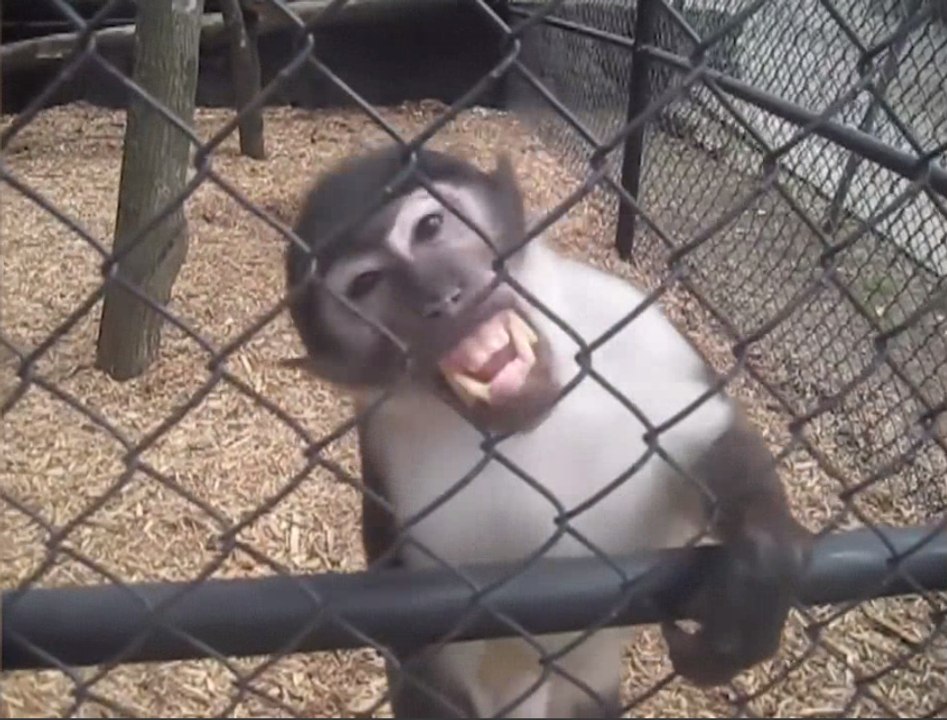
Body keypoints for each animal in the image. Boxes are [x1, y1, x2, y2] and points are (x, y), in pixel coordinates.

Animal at [283, 145, 813, 718]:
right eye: (365, 284)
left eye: (429, 227)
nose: (441, 299)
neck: (528, 426)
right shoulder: (381, 442)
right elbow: (415, 647)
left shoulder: (630, 318)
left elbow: (707, 429)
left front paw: (762, 561)